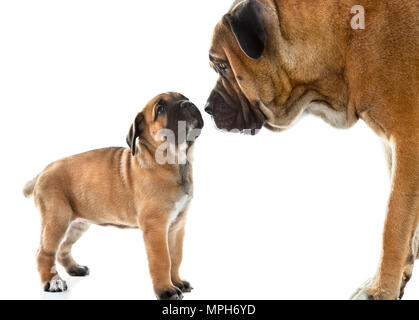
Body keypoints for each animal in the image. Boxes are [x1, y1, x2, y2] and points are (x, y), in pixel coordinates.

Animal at [23, 92, 204, 300]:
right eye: (160, 109)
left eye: (184, 97)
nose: (187, 103)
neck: (174, 161)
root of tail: (43, 171)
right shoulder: (156, 227)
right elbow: (162, 260)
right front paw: (166, 289)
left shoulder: (176, 225)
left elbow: (176, 256)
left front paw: (177, 282)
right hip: (56, 219)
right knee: (44, 252)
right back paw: (52, 282)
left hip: (77, 223)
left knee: (62, 249)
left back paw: (75, 269)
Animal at [205, 0, 418, 300]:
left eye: (223, 66)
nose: (207, 108)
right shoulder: (394, 149)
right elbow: (409, 225)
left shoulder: (407, 143)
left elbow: (394, 225)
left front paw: (379, 290)